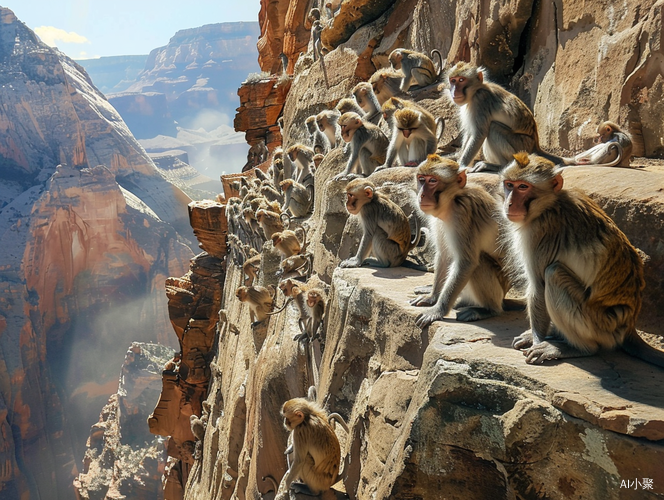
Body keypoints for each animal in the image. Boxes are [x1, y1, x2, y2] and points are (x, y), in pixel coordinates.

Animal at [410, 155, 512, 328]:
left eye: (433, 181)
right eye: (422, 179)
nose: (422, 195)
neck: (453, 201)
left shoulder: (462, 215)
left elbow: (466, 262)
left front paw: (438, 310)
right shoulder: (439, 220)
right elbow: (444, 255)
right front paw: (432, 297)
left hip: (500, 288)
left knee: (479, 262)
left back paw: (488, 310)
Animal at [504, 153, 664, 368]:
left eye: (523, 187)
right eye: (509, 185)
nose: (509, 203)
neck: (549, 205)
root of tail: (630, 326)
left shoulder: (538, 233)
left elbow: (538, 286)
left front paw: (538, 340)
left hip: (600, 324)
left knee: (554, 274)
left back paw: (576, 348)